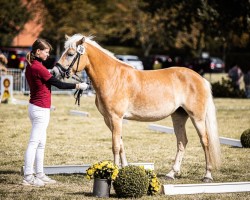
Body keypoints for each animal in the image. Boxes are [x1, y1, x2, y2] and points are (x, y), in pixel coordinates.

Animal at [52, 34, 221, 181]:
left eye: (70, 54)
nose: (54, 72)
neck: (112, 77)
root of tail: (201, 79)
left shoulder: (116, 118)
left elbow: (115, 146)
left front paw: (113, 173)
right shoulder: (109, 119)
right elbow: (120, 145)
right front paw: (123, 170)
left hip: (197, 117)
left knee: (204, 141)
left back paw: (207, 175)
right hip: (179, 116)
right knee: (182, 142)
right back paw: (171, 173)